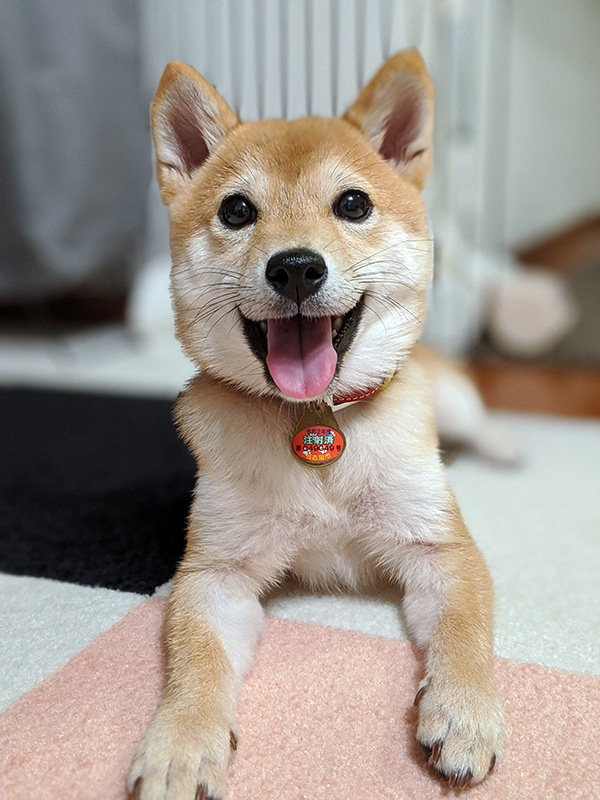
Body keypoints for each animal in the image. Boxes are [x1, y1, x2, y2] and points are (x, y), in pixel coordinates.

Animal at [130, 51, 506, 800]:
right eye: (237, 210)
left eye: (353, 204)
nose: (297, 267)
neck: (318, 420)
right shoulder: (216, 574)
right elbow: (195, 661)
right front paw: (181, 743)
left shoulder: (439, 550)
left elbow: (464, 630)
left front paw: (463, 709)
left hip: (454, 402)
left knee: (478, 423)